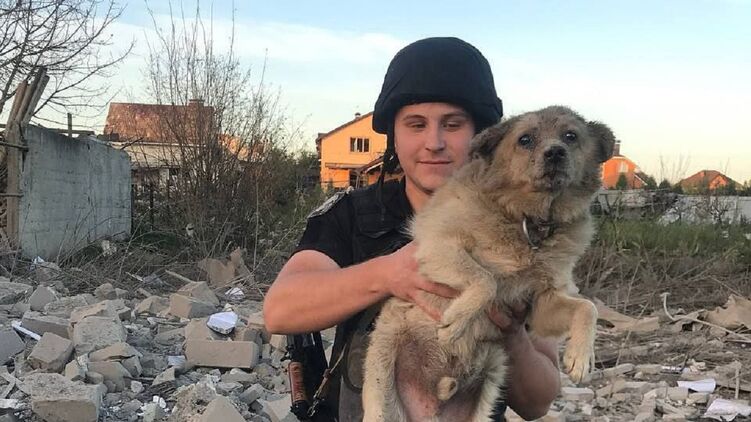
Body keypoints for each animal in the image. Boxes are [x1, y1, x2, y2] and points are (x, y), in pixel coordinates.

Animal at [361, 106, 615, 421]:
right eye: (525, 139)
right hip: (381, 391)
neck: (527, 224)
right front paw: (457, 320)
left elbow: (587, 307)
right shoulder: (437, 247)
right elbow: (487, 280)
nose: (555, 153)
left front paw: (580, 357)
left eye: (571, 136)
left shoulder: (541, 304)